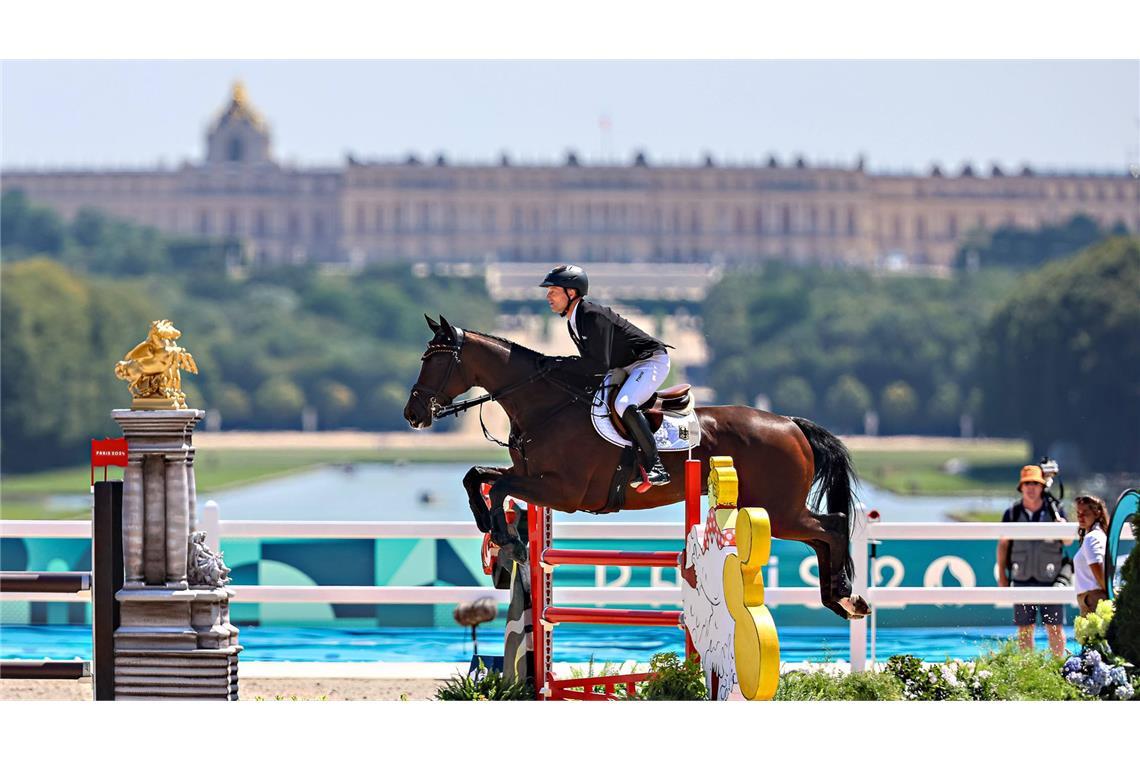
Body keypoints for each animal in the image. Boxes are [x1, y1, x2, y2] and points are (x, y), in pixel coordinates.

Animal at [405, 314, 866, 619]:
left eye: (435, 361)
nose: (414, 414)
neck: (546, 406)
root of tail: (791, 424)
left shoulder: (563, 491)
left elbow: (498, 488)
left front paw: (507, 538)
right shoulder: (534, 479)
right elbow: (477, 478)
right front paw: (492, 527)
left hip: (778, 510)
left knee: (832, 526)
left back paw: (845, 596)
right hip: (776, 510)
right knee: (823, 534)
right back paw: (841, 600)